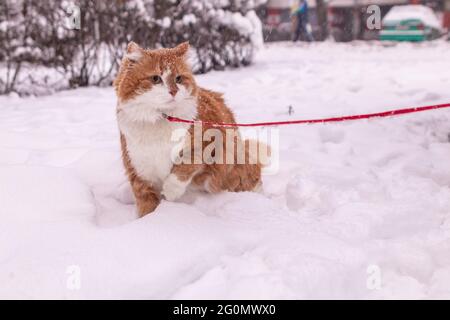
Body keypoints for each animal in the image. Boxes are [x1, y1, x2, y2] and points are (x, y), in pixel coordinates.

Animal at [114, 42, 268, 218]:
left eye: (178, 78)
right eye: (155, 79)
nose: (174, 91)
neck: (159, 121)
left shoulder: (209, 144)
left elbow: (185, 165)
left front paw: (170, 191)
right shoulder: (139, 171)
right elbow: (147, 206)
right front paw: (149, 220)